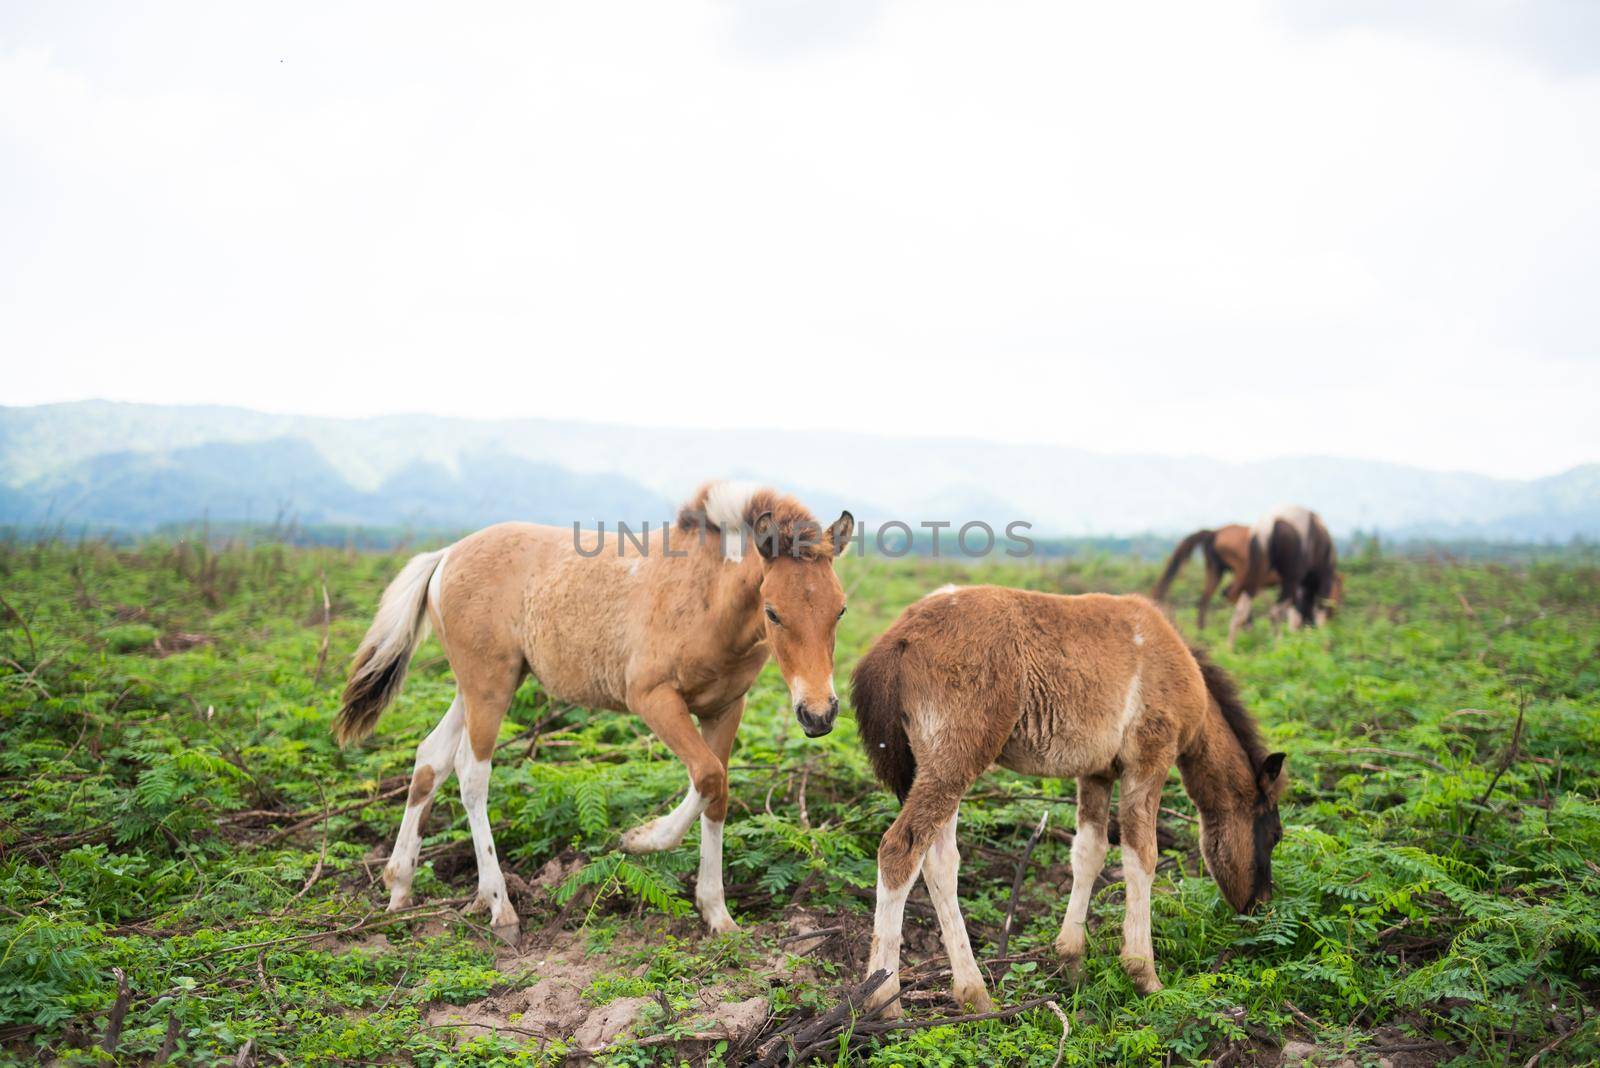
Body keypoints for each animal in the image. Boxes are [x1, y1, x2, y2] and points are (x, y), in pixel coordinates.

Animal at [337, 479, 857, 940]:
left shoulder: (727, 707)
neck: (708, 598)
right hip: (489, 684)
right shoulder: (652, 698)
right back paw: (500, 907)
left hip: (479, 685)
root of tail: (446, 555)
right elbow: (708, 776)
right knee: (471, 771)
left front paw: (717, 913)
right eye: (772, 611)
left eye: (841, 610)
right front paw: (640, 839)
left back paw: (400, 886)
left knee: (431, 758)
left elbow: (719, 789)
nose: (818, 714)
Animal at [851, 588, 1286, 1016]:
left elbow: (1089, 852)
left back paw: (975, 993)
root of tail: (897, 638)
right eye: (1275, 836)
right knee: (900, 850)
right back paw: (885, 1000)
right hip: (956, 760)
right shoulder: (1149, 760)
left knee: (940, 861)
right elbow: (1142, 856)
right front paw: (1144, 974)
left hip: (941, 767)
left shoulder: (1097, 772)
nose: (1260, 904)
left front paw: (1072, 960)